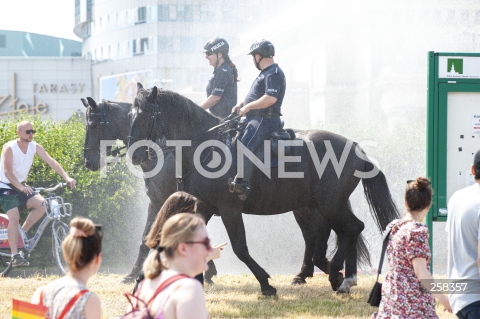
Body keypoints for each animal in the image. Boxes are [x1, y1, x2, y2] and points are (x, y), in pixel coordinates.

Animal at [126, 84, 398, 296]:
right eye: (130, 114)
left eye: (144, 115)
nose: (134, 154)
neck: (206, 148)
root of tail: (357, 149)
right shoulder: (203, 206)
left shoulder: (229, 209)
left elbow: (240, 248)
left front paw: (266, 284)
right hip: (317, 206)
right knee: (332, 232)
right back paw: (335, 275)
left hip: (329, 204)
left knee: (350, 229)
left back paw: (337, 276)